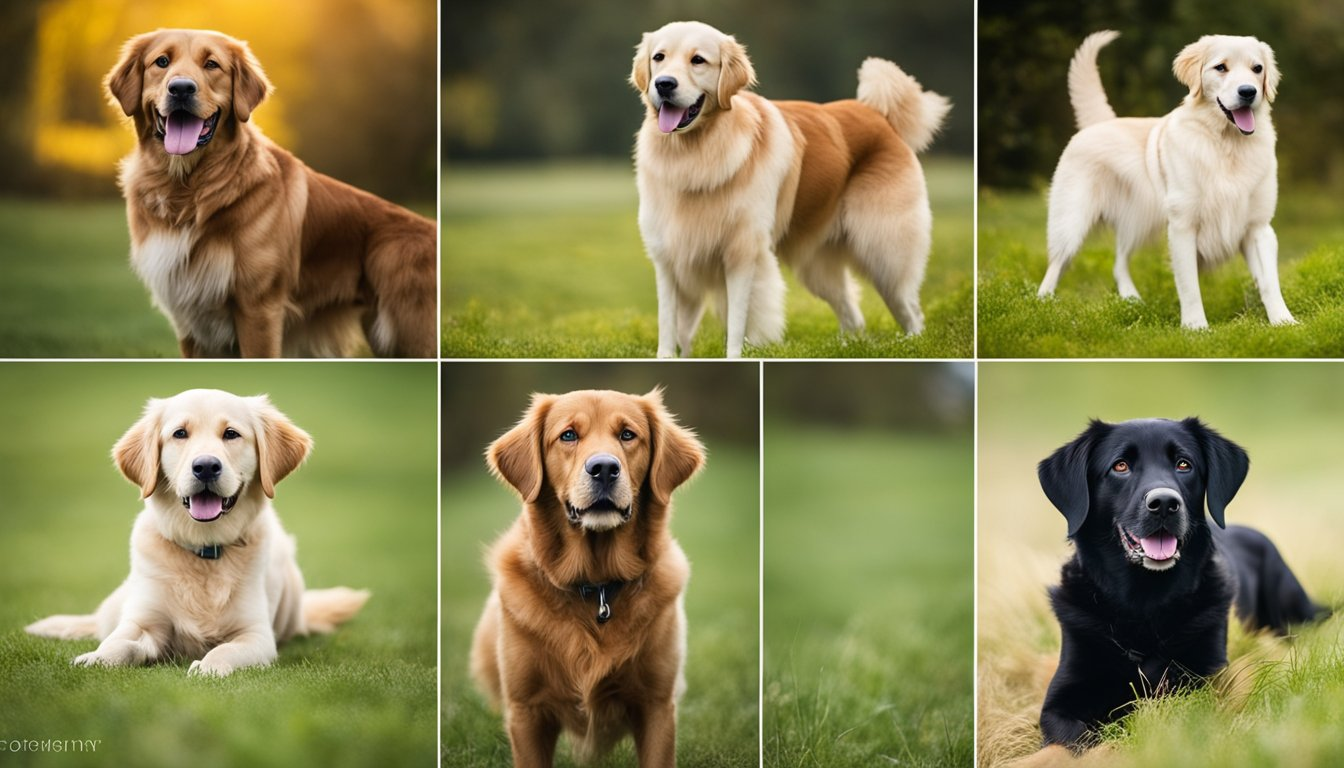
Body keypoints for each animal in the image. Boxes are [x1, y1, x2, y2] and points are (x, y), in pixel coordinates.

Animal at [26, 390, 370, 677]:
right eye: (180, 433)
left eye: (231, 434)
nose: (205, 466)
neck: (204, 549)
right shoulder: (142, 620)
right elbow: (119, 642)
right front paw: (97, 657)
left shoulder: (257, 635)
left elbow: (225, 650)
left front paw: (208, 667)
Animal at [109, 27, 438, 357]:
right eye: (161, 62)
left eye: (212, 65)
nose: (180, 89)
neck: (189, 189)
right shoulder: (190, 321)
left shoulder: (259, 309)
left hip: (409, 329)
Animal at [470, 390, 704, 768]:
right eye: (568, 435)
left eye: (627, 434)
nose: (605, 468)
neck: (597, 585)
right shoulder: (526, 710)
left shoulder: (656, 704)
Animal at [1032, 30, 1295, 328]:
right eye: (1221, 67)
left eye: (1257, 69)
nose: (1249, 92)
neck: (1226, 145)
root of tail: (1100, 123)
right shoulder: (1183, 227)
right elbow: (1189, 285)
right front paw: (1196, 327)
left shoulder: (1258, 228)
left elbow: (1270, 282)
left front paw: (1283, 321)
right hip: (1072, 222)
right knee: (1057, 262)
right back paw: (1043, 303)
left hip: (1137, 224)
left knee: (1119, 262)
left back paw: (1132, 300)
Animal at [1032, 419, 1327, 753]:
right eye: (1120, 466)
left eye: (1183, 464)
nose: (1164, 503)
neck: (1144, 601)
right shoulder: (1060, 701)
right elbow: (1074, 741)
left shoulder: (1205, 680)